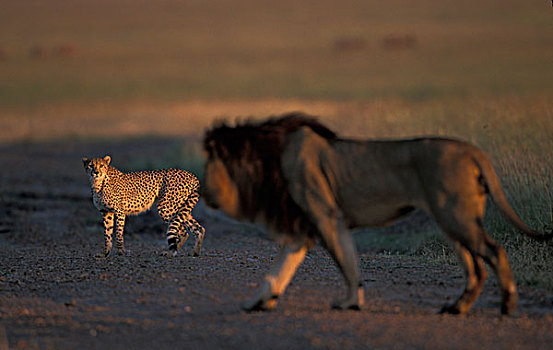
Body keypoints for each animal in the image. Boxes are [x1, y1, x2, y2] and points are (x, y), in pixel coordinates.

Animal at [203, 112, 552, 314]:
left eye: (209, 162)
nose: (203, 191)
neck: (269, 159)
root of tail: (471, 150)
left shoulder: (325, 215)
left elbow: (345, 262)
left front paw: (349, 303)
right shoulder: (307, 223)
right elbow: (283, 267)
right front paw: (261, 300)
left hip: (455, 216)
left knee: (493, 252)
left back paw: (507, 305)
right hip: (451, 219)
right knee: (475, 266)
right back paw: (458, 307)